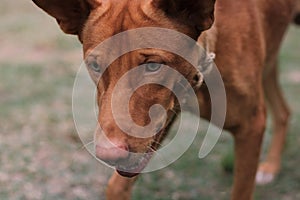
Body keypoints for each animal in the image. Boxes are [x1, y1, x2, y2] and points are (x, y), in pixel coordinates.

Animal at [32, 0, 298, 199]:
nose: (108, 154)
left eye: (153, 65)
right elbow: (116, 186)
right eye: (95, 66)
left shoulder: (251, 126)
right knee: (283, 111)